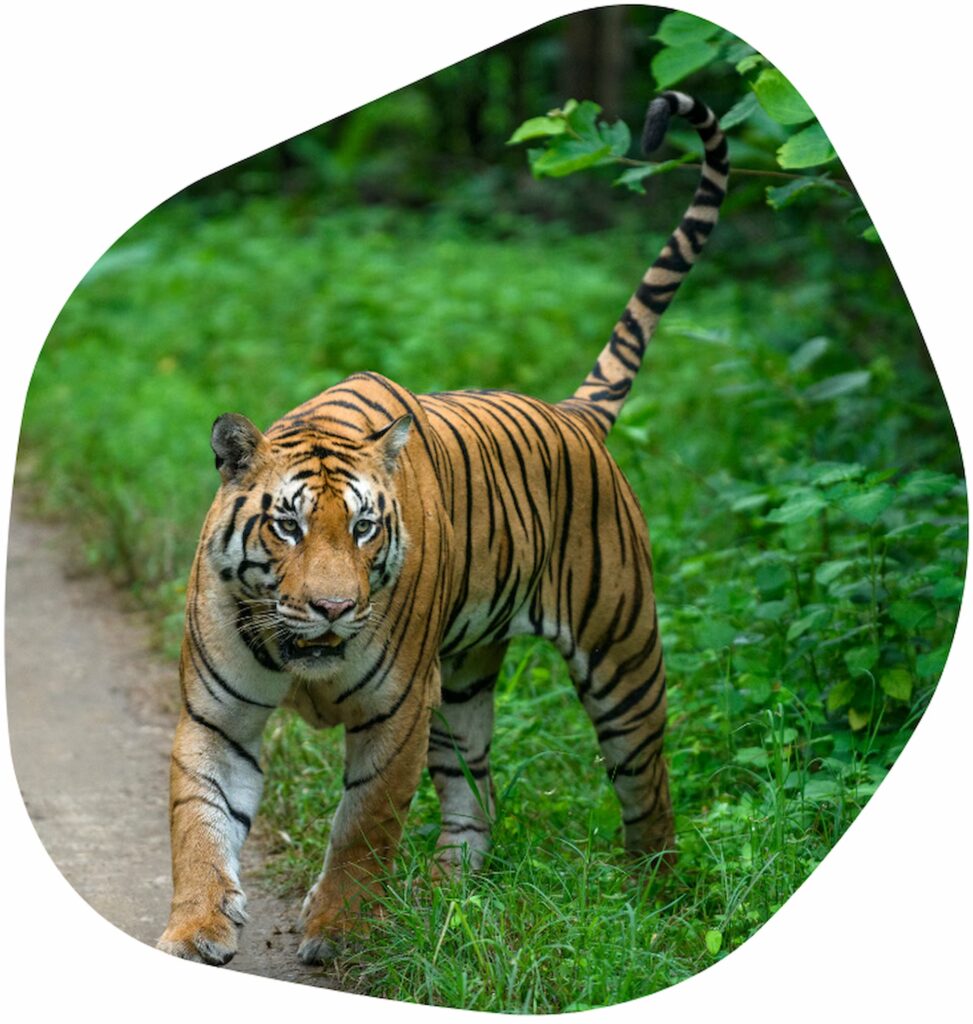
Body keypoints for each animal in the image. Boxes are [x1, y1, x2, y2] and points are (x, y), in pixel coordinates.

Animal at [157, 90, 728, 966]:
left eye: (362, 529)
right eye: (287, 526)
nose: (332, 609)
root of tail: (571, 415)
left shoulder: (396, 712)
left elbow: (364, 823)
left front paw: (339, 928)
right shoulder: (216, 714)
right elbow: (199, 821)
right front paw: (195, 928)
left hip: (621, 657)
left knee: (647, 786)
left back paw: (654, 901)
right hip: (461, 682)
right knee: (478, 789)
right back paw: (444, 895)